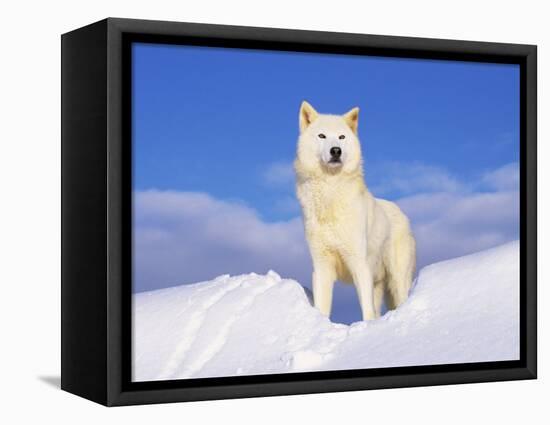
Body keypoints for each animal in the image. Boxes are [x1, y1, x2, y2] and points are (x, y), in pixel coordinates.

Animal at [296, 101, 416, 320]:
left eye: (342, 137)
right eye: (322, 136)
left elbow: (366, 310)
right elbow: (322, 308)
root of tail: (401, 211)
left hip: (397, 281)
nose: (336, 151)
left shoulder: (359, 263)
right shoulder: (321, 266)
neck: (331, 194)